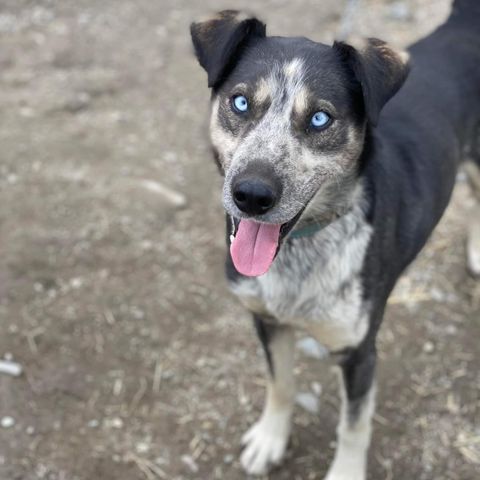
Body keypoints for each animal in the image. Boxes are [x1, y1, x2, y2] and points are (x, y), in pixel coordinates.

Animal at [189, 1, 478, 478]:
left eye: (320, 118)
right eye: (241, 102)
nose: (251, 194)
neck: (302, 248)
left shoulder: (359, 351)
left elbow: (353, 425)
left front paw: (345, 471)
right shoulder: (266, 320)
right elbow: (280, 382)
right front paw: (270, 439)